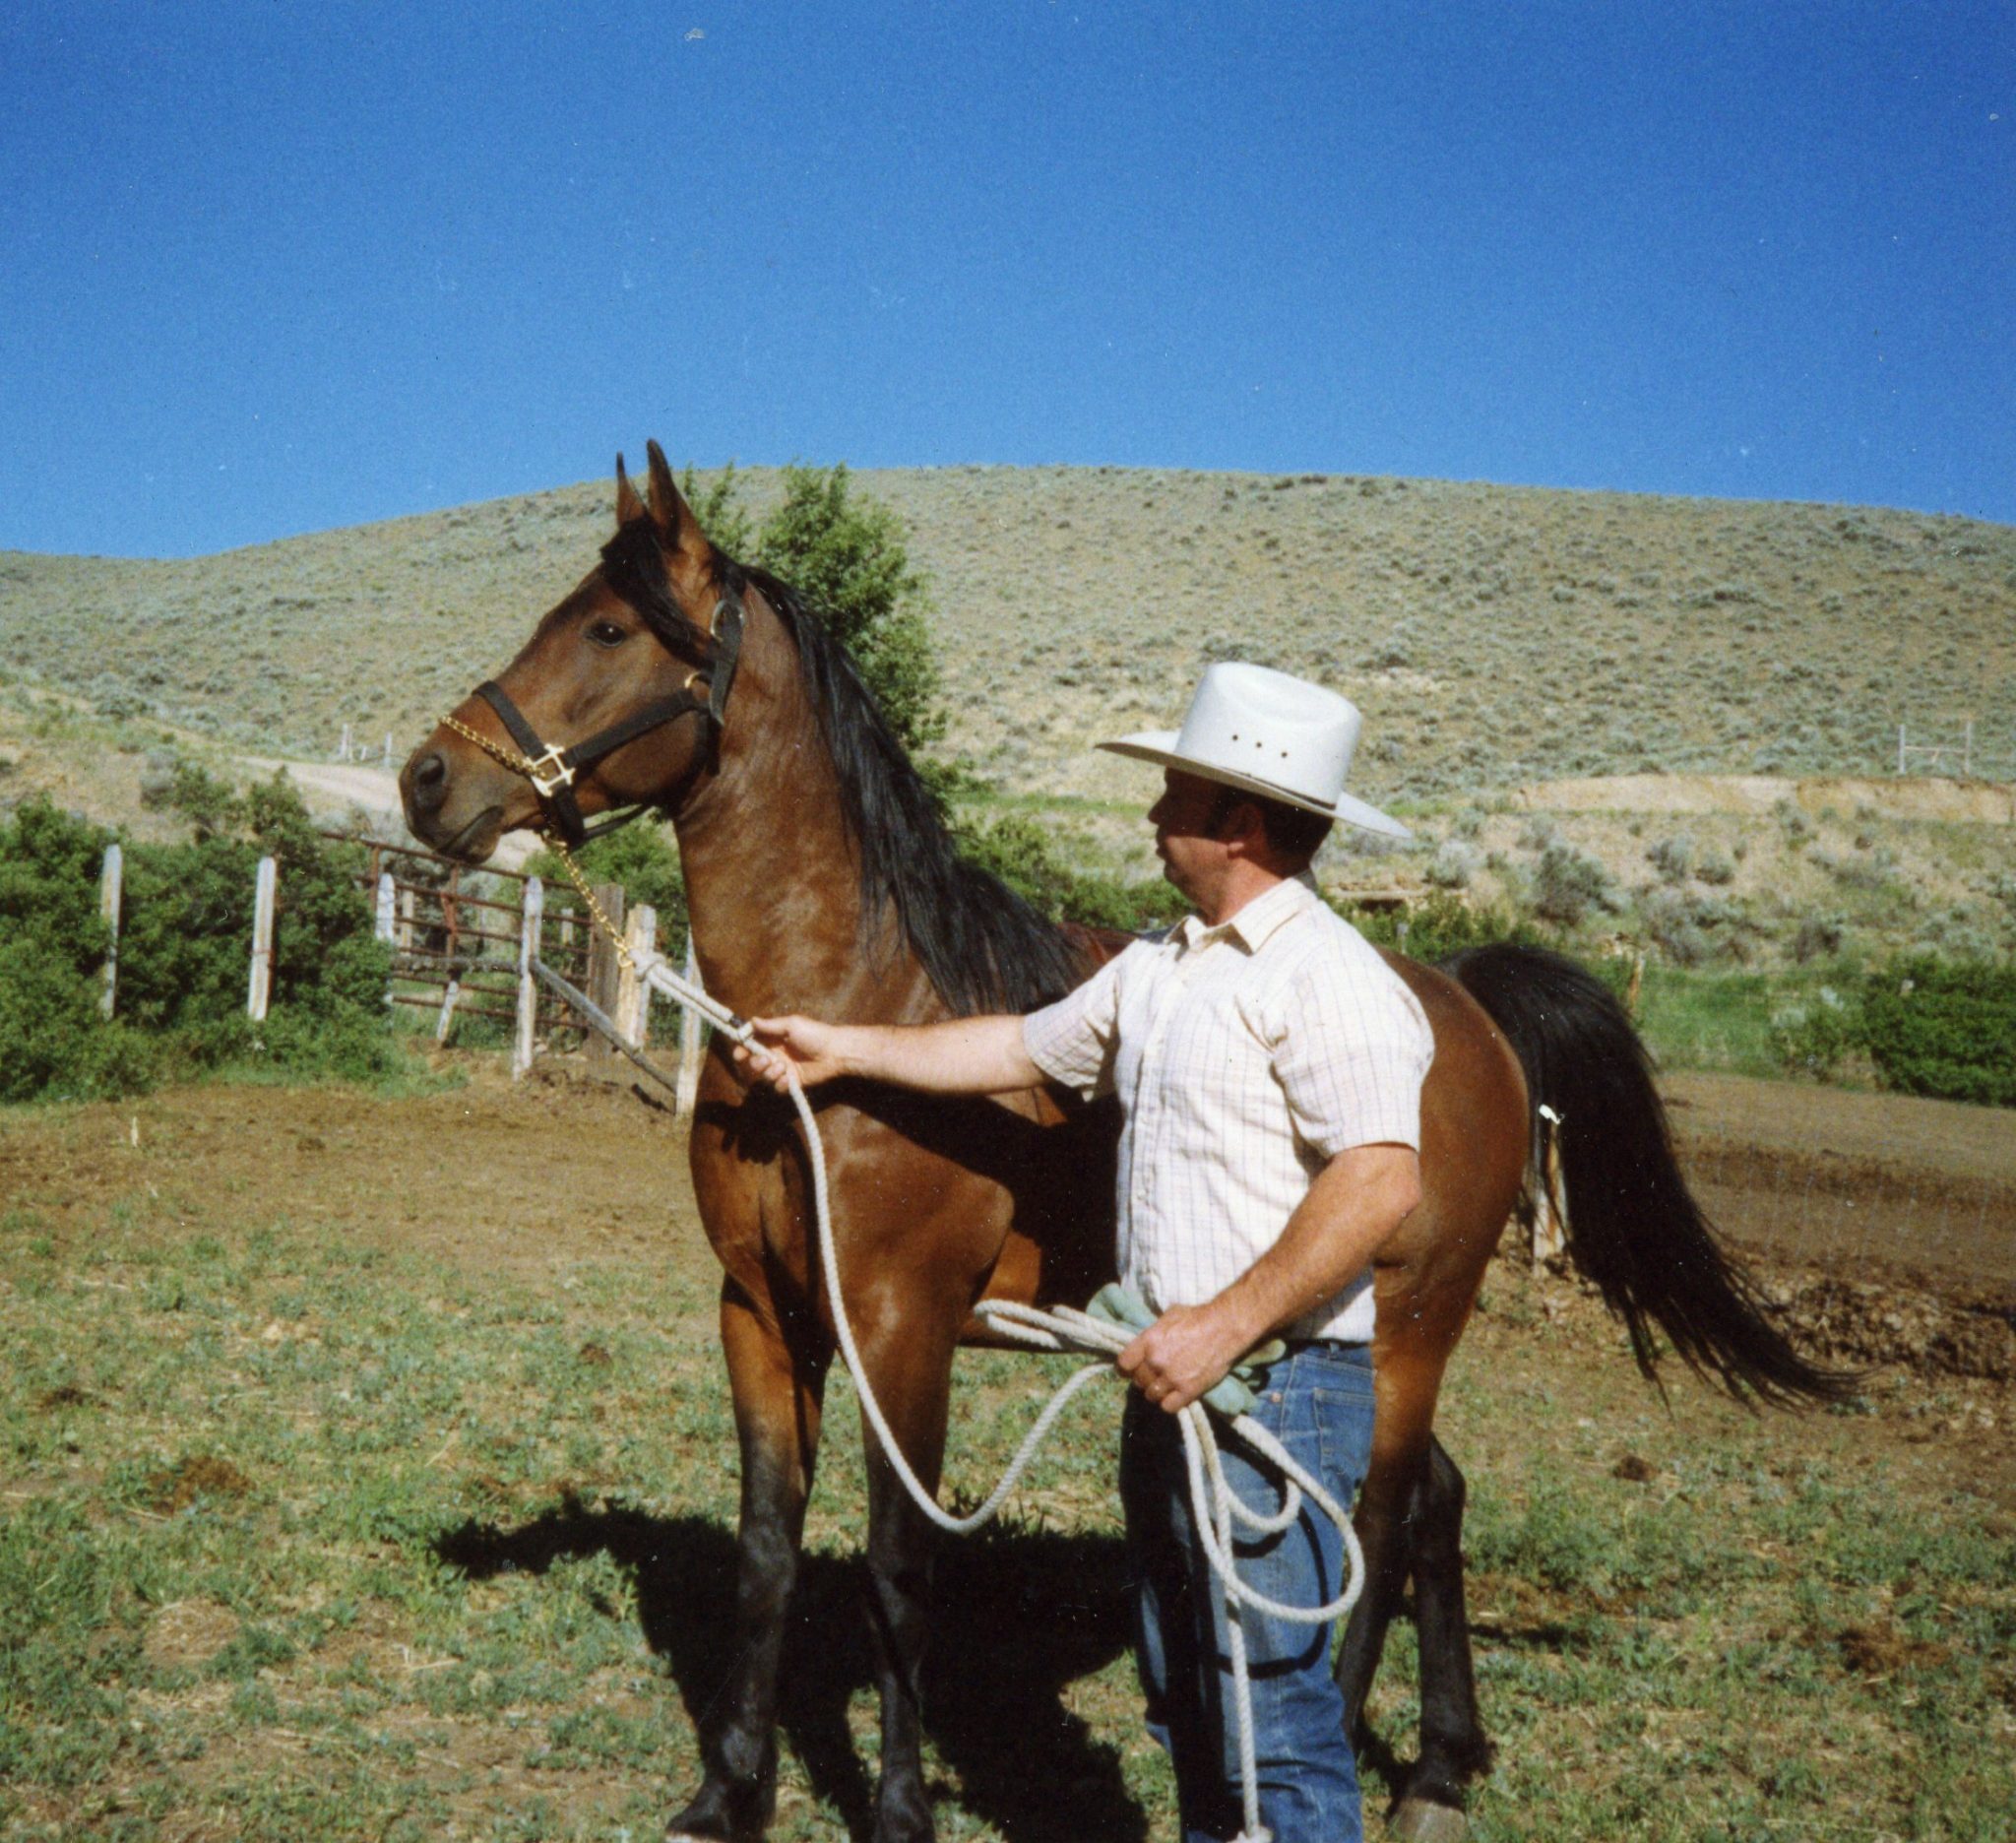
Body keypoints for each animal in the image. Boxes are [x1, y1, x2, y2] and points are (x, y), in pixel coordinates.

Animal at [400, 444, 1847, 1843]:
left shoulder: (900, 1328)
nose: (429, 778)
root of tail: (1464, 1006)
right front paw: (726, 1796)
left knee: (1374, 1524)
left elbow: (899, 1568)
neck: (861, 1015)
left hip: (1407, 1327)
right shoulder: (759, 1312)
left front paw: (899, 1811)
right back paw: (1438, 1768)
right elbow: (769, 1551)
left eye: (604, 628)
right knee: (1431, 1500)